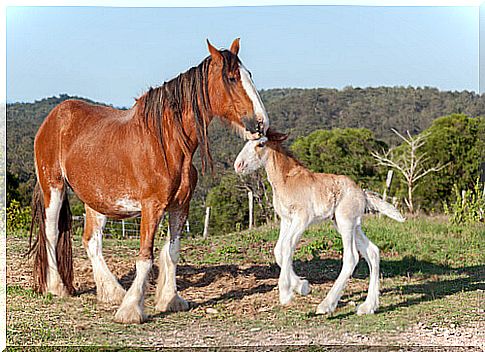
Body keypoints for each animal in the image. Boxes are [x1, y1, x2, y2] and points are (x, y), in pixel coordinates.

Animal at [29, 39, 268, 324]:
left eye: (250, 74)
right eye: (231, 78)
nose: (261, 124)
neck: (166, 144)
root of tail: (53, 119)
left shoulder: (180, 207)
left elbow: (172, 252)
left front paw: (171, 300)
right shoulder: (151, 207)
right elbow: (145, 257)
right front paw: (132, 310)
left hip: (97, 200)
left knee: (92, 240)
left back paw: (112, 292)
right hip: (53, 188)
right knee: (51, 232)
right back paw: (57, 287)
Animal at [234, 133, 404, 316]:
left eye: (260, 144)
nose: (238, 165)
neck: (287, 179)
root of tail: (363, 194)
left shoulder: (302, 218)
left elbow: (287, 247)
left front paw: (286, 293)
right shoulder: (286, 220)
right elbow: (279, 250)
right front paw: (302, 286)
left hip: (345, 222)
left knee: (352, 257)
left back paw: (326, 305)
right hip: (351, 225)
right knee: (373, 252)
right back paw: (368, 306)